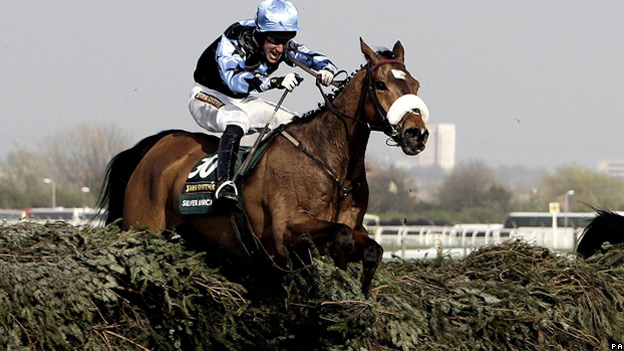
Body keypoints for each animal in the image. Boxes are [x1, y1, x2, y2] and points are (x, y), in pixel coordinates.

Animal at [98, 40, 428, 296]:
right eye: (381, 85)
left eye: (415, 85)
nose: (417, 134)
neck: (332, 162)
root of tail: (157, 145)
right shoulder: (286, 229)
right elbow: (340, 237)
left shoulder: (355, 226)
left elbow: (372, 249)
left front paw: (358, 291)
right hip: (144, 226)